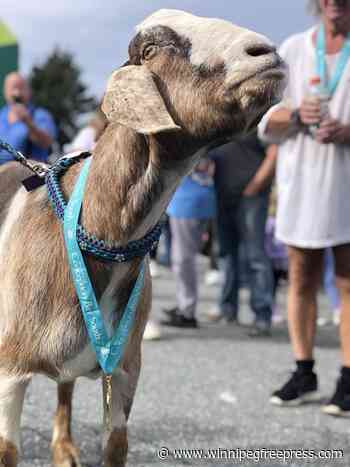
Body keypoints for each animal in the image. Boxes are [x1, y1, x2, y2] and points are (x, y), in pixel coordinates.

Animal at [0, 8, 286, 467]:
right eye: (151, 49)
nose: (266, 52)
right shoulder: (11, 372)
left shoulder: (126, 369)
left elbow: (116, 445)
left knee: (65, 388)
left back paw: (65, 449)